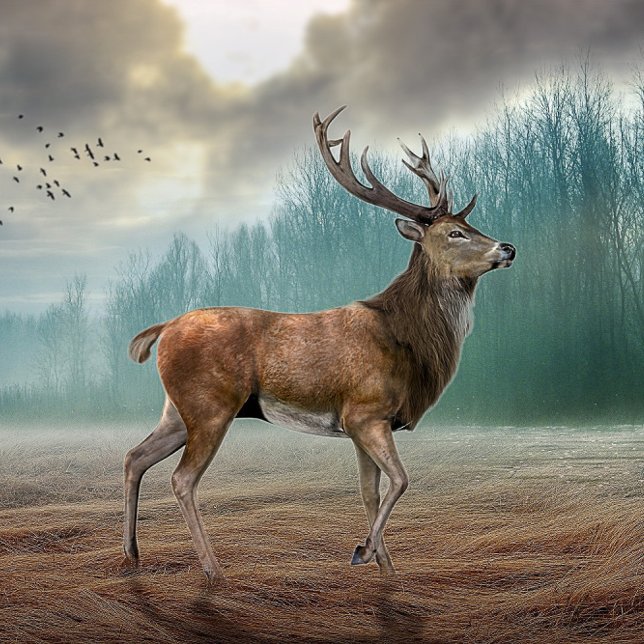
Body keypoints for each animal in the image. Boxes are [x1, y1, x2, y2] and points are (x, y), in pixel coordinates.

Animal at [122, 106, 516, 583]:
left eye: (470, 224)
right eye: (455, 233)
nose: (508, 248)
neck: (407, 341)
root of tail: (163, 329)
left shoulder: (362, 425)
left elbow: (370, 491)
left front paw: (384, 566)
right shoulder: (365, 411)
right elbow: (401, 481)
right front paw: (363, 552)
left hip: (178, 410)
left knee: (135, 456)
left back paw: (132, 554)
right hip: (210, 404)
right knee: (182, 479)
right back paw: (214, 571)